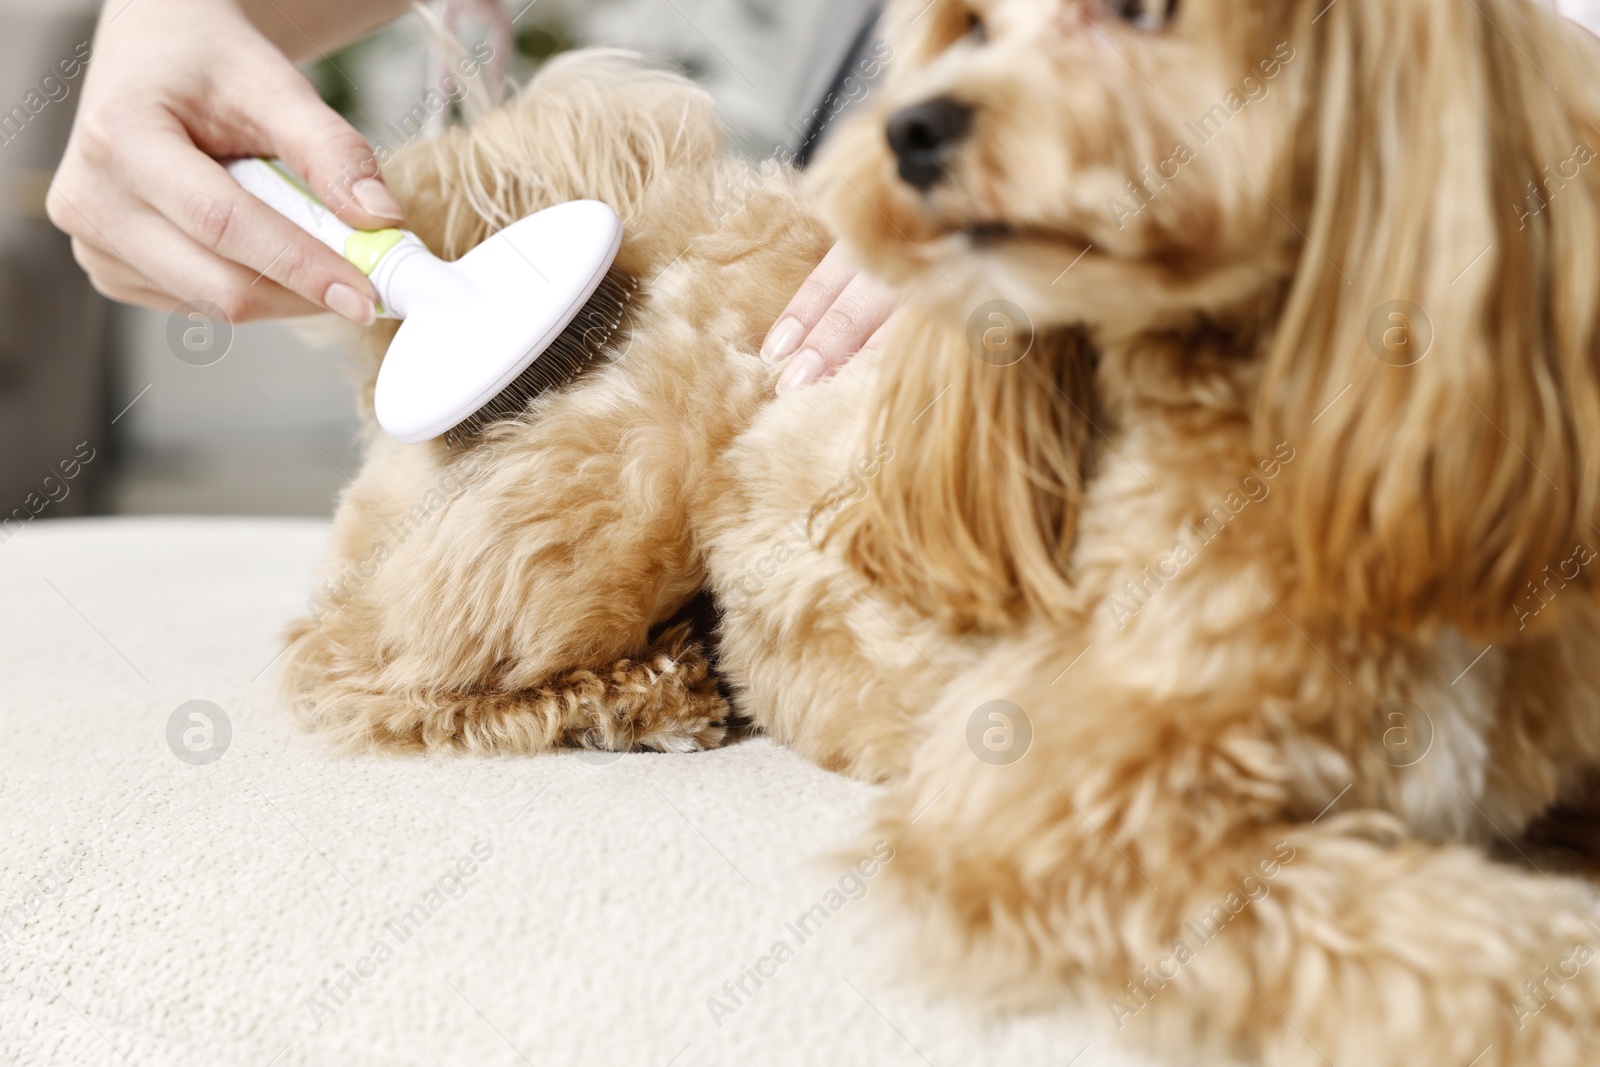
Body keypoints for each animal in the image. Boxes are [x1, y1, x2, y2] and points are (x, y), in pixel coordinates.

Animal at [281, 2, 1600, 1062]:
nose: (918, 136)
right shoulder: (1066, 813)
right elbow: (1446, 942)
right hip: (607, 495)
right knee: (359, 660)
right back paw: (630, 694)